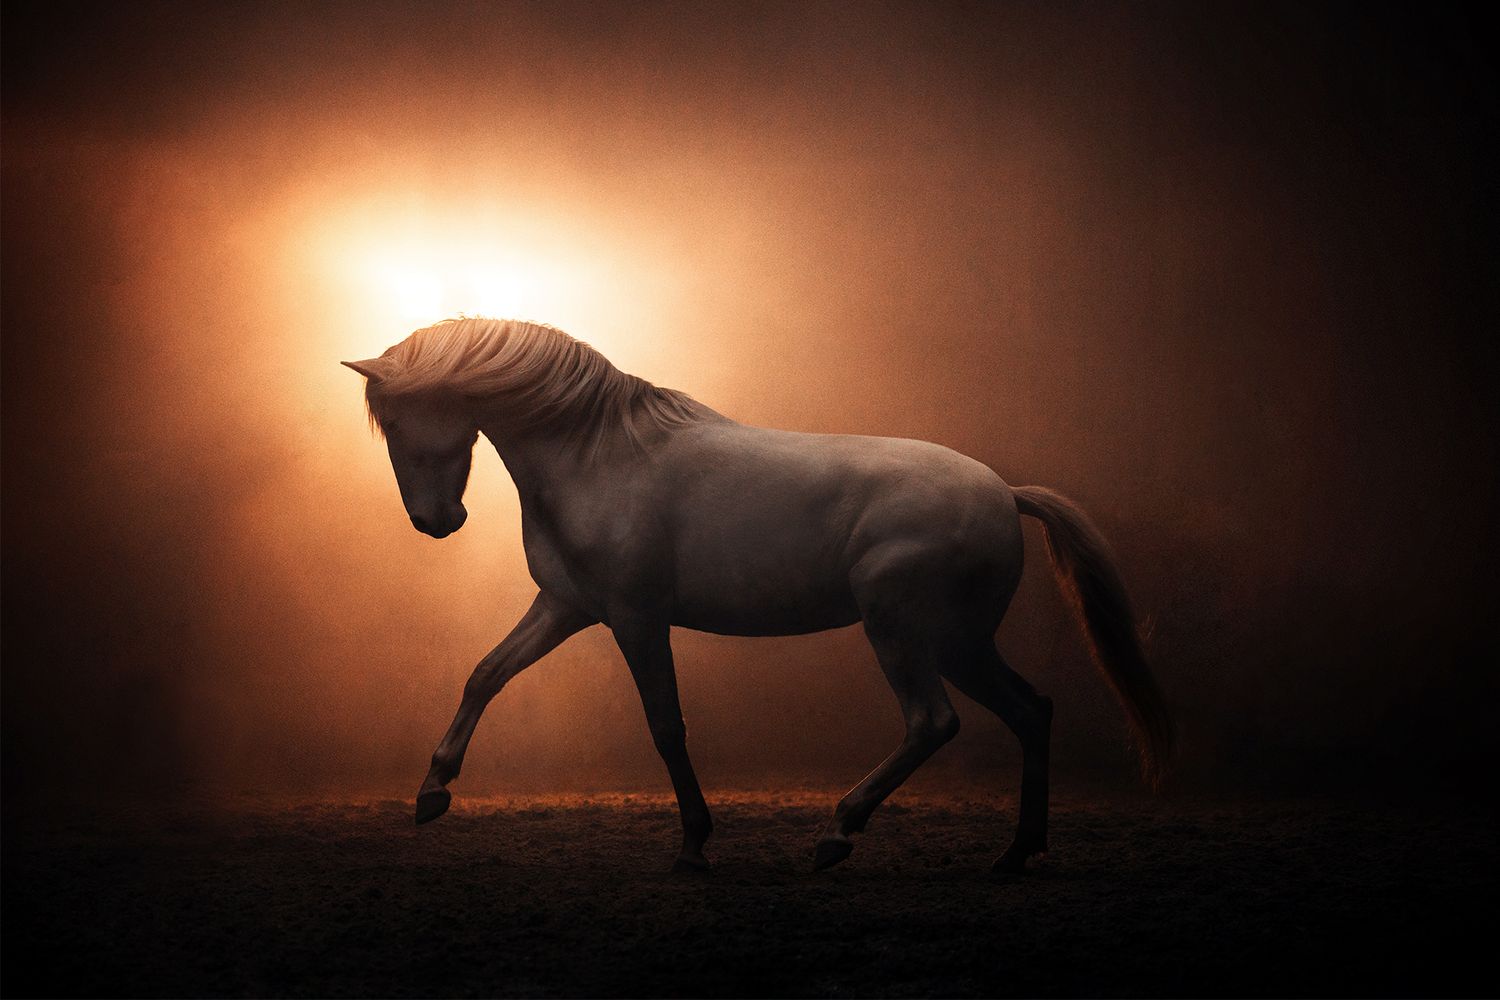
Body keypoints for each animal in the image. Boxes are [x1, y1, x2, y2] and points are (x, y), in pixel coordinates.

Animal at [343, 317, 1173, 874]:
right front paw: (432, 792)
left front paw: (693, 844)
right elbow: (485, 674)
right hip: (963, 644)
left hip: (905, 633)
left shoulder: (636, 619)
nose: (436, 522)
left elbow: (666, 726)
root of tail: (1005, 492)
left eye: (401, 423)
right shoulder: (566, 608)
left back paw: (838, 833)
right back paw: (1014, 853)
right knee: (1032, 711)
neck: (600, 458)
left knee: (933, 721)